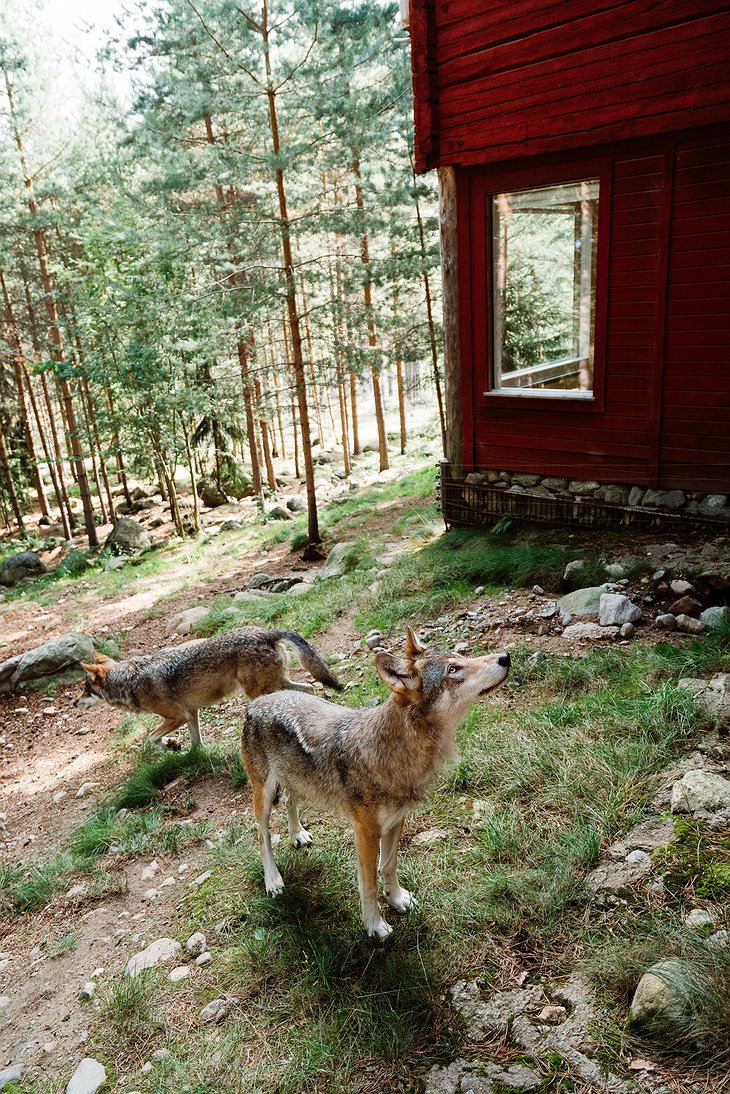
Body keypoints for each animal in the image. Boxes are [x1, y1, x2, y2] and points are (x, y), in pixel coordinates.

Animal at [75, 630, 343, 748]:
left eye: (86, 690)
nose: (75, 703)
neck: (130, 680)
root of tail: (266, 632)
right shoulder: (191, 714)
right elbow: (196, 745)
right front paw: (187, 752)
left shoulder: (178, 716)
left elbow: (150, 738)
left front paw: (169, 745)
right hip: (273, 687)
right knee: (309, 688)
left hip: (259, 693)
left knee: (306, 689)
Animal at [239, 634, 507, 940]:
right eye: (453, 669)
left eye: (461, 659)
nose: (505, 657)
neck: (394, 753)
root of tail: (257, 702)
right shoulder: (365, 832)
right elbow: (369, 883)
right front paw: (375, 925)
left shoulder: (396, 821)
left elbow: (388, 866)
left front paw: (398, 899)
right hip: (263, 794)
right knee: (262, 836)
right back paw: (273, 880)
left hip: (297, 781)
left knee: (289, 801)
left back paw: (298, 834)